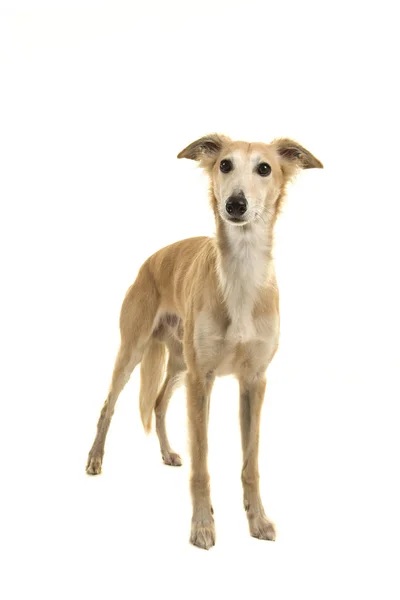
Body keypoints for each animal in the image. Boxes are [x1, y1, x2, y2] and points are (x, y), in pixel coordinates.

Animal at [86, 135, 324, 548]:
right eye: (224, 165)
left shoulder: (253, 382)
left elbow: (250, 463)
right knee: (108, 406)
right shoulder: (203, 380)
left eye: (265, 168)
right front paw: (202, 525)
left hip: (180, 363)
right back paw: (95, 459)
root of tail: (150, 261)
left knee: (159, 403)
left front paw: (257, 520)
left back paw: (167, 452)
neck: (241, 274)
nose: (235, 205)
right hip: (134, 351)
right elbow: (201, 463)